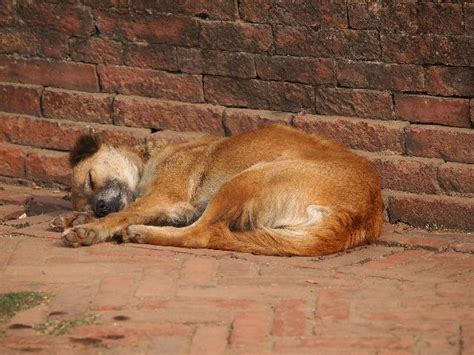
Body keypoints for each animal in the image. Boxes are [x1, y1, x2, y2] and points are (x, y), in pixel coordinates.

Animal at [57, 125, 384, 256]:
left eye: (90, 179)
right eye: (84, 197)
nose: (98, 206)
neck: (150, 158)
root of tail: (361, 214)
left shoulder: (164, 196)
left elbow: (125, 213)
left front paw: (89, 229)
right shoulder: (170, 207)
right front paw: (75, 218)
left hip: (247, 177)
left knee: (203, 234)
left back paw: (141, 233)